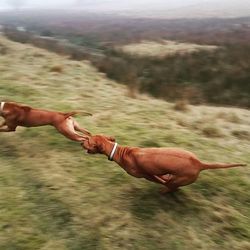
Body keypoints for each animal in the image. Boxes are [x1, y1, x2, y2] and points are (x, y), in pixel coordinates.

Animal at [81, 136, 245, 192]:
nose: (82, 141)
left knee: (171, 187)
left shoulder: (147, 175)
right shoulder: (155, 173)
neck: (120, 152)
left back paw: (165, 191)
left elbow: (160, 180)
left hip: (179, 180)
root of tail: (199, 163)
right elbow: (163, 177)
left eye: (89, 141)